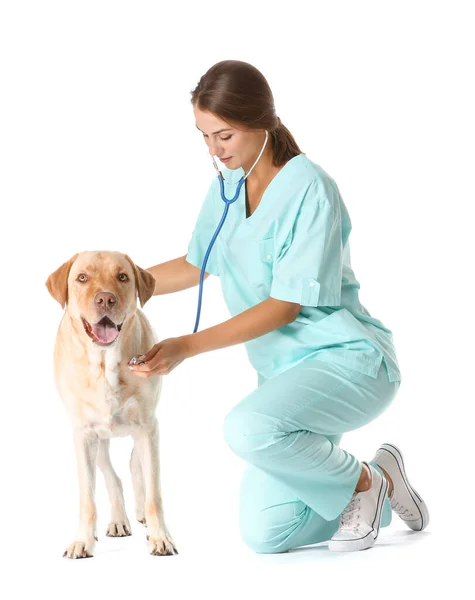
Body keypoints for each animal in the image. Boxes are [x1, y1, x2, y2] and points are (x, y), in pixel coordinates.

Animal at [46, 250, 178, 556]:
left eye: (123, 277)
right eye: (82, 277)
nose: (105, 299)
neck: (106, 364)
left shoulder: (148, 427)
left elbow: (154, 492)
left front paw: (160, 536)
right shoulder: (83, 433)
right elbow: (88, 498)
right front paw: (82, 540)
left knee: (135, 466)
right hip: (98, 439)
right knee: (111, 476)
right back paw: (118, 520)